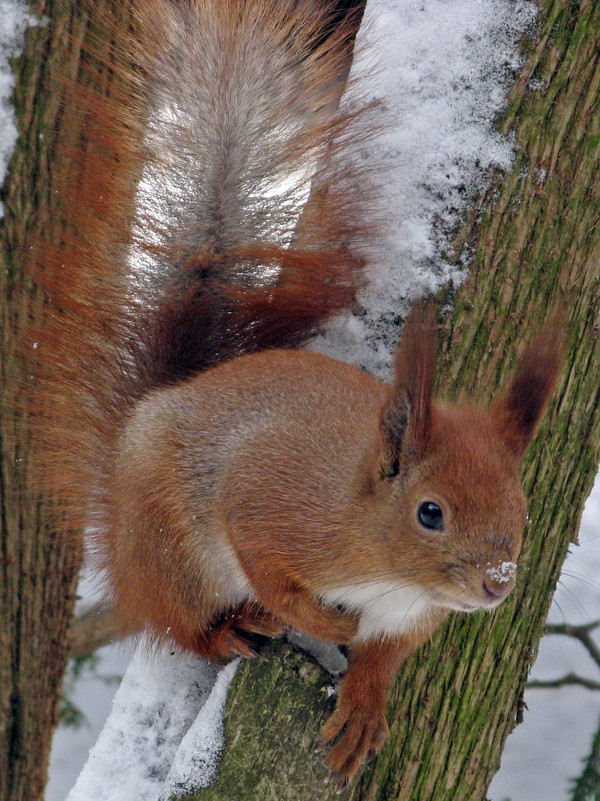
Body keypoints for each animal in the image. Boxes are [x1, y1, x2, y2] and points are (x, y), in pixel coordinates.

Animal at [35, 0, 564, 788]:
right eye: (430, 513)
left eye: (523, 509)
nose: (497, 585)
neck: (384, 566)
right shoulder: (271, 505)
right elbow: (272, 570)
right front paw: (321, 621)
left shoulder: (417, 613)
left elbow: (386, 656)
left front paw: (367, 701)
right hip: (169, 544)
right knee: (179, 622)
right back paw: (232, 624)